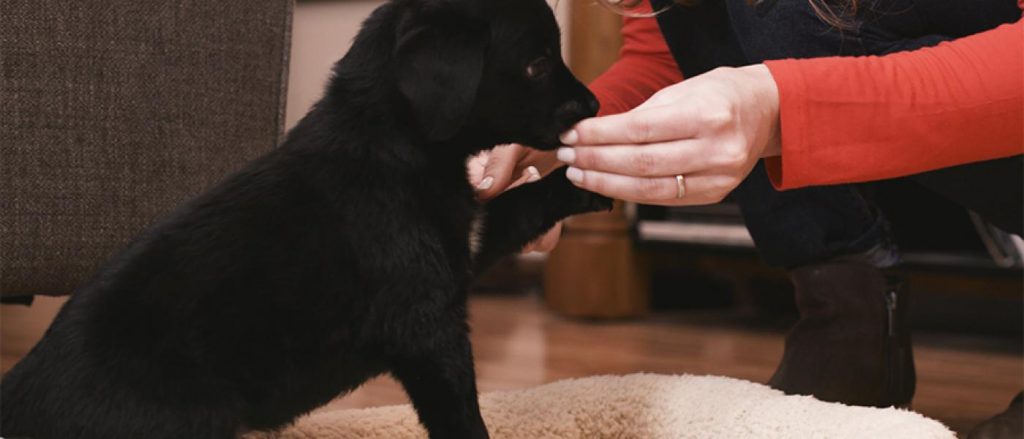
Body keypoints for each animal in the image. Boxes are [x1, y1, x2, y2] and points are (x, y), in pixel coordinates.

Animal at [0, 0, 606, 435]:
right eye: (537, 64)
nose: (596, 106)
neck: (390, 142)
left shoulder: (466, 241)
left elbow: (524, 202)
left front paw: (591, 181)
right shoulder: (429, 329)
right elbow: (462, 418)